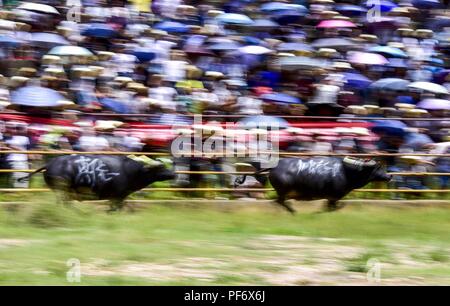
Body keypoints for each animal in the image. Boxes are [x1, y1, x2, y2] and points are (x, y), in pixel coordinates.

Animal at [23, 155, 174, 210]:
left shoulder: (118, 197)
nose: (173, 173)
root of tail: (49, 164)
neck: (131, 171)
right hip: (62, 192)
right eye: (161, 167)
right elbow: (115, 209)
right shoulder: (118, 196)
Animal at [236, 158, 390, 213]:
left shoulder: (331, 199)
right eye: (378, 168)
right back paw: (293, 211)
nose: (389, 176)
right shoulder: (333, 198)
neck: (346, 172)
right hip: (283, 192)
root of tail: (274, 168)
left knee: (279, 202)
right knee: (280, 202)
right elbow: (334, 207)